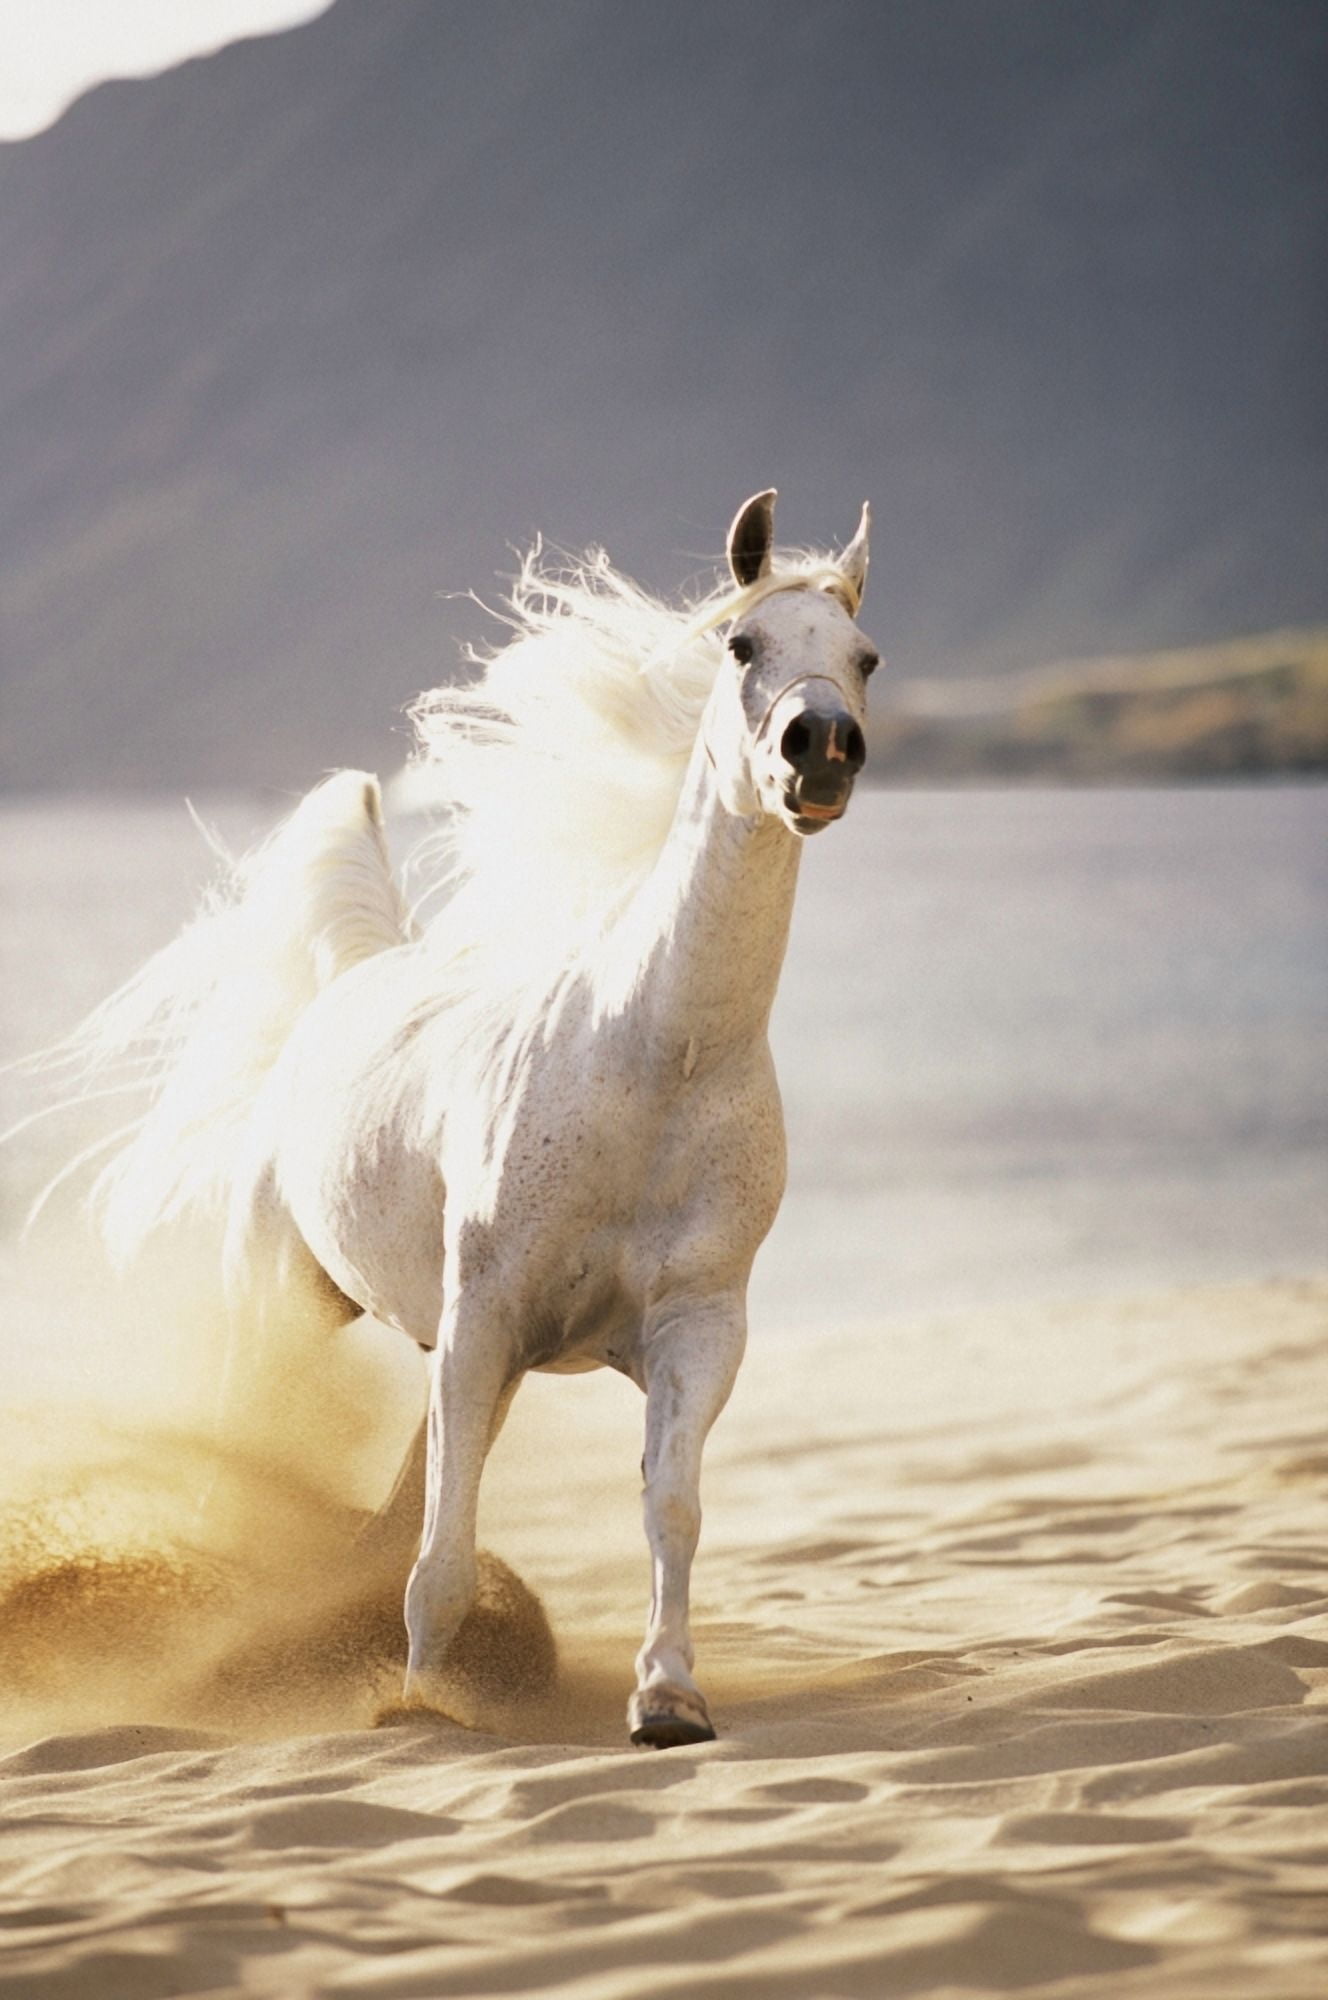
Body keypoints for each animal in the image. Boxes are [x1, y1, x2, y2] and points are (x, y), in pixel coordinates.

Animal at [41, 489, 877, 1747]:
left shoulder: (690, 1328)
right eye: (742, 645)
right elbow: (441, 1544)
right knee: (263, 1453)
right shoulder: (483, 1316)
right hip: (295, 1301)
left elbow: (669, 1506)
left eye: (863, 657)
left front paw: (666, 1697)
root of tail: (355, 976)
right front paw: (423, 1705)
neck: (650, 1061)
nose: (817, 750)